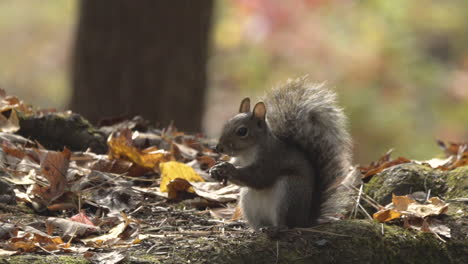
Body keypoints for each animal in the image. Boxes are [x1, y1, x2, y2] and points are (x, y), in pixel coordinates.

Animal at [208, 76, 358, 229]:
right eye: (226, 124)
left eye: (242, 131)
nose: (219, 148)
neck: (246, 154)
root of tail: (304, 221)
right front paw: (216, 169)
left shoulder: (271, 159)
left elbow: (258, 177)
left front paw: (228, 168)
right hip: (248, 200)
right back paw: (257, 228)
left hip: (288, 192)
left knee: (286, 224)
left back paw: (276, 229)